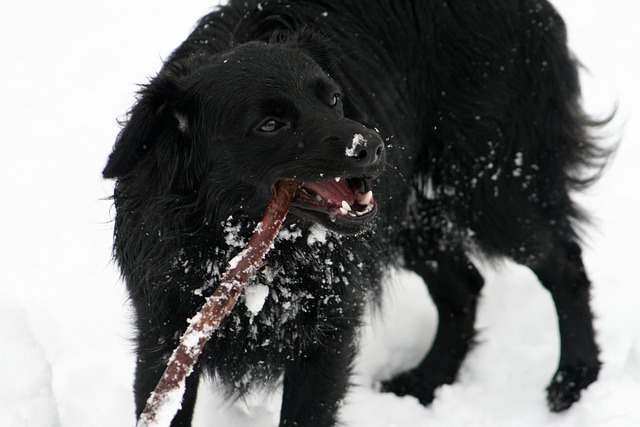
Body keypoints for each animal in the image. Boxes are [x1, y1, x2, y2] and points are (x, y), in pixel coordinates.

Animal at [105, 1, 608, 426]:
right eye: (270, 125)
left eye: (332, 99)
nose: (373, 146)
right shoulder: (164, 339)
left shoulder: (328, 332)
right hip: (415, 218)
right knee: (465, 286)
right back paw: (429, 380)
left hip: (492, 188)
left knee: (564, 266)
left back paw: (575, 377)